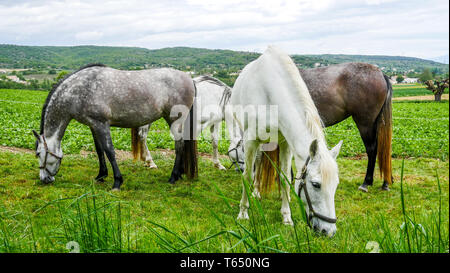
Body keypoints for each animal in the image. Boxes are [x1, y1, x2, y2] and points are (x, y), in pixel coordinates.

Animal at [32, 63, 198, 189]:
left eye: (38, 154)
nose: (44, 179)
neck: (78, 90)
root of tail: (189, 79)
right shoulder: (93, 125)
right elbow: (99, 150)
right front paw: (101, 175)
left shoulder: (102, 124)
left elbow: (109, 151)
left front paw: (117, 181)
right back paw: (179, 174)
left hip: (174, 120)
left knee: (179, 145)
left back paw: (173, 177)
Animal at [227, 45, 342, 235]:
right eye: (316, 184)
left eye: (335, 184)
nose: (329, 231)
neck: (270, 92)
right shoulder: (251, 140)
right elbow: (247, 176)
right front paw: (243, 213)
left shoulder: (285, 143)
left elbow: (284, 178)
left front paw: (287, 217)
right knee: (257, 161)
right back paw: (255, 192)